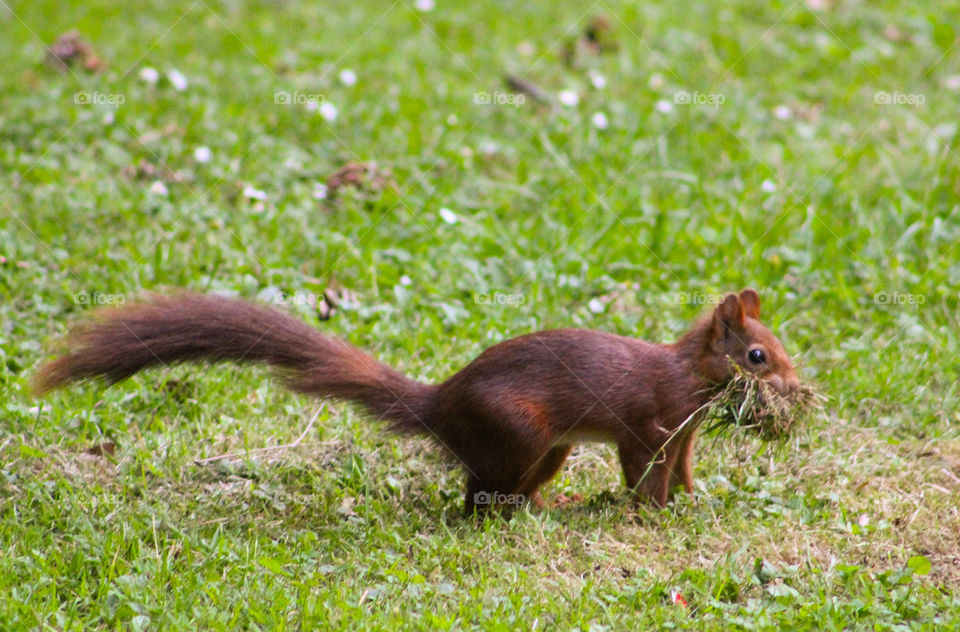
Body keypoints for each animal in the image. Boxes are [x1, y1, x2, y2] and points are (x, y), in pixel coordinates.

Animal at [32, 288, 799, 513]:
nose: (795, 386)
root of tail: (441, 404)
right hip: (519, 433)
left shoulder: (686, 433)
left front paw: (691, 500)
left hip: (545, 453)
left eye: (779, 342)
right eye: (757, 355)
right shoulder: (648, 422)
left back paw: (549, 506)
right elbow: (644, 471)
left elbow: (686, 468)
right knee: (474, 499)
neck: (687, 376)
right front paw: (650, 514)